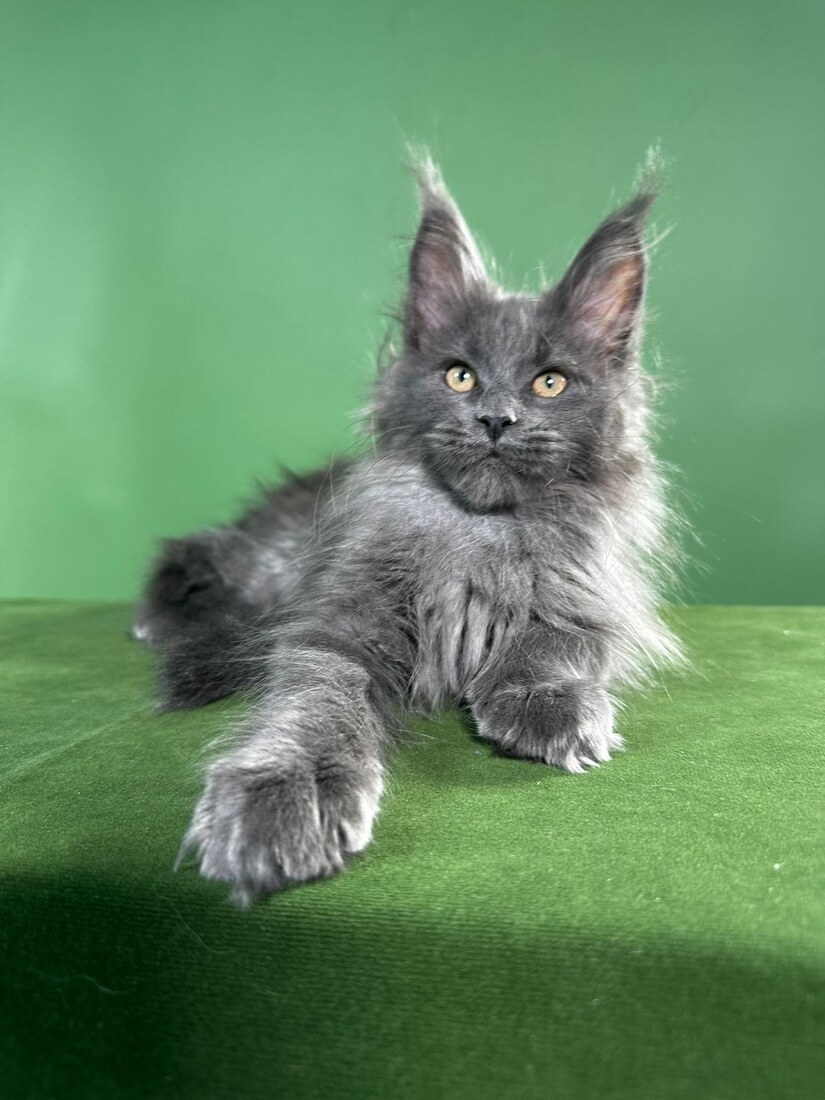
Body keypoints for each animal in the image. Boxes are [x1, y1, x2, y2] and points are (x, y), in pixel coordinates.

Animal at [135, 156, 682, 905]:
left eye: (548, 383)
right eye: (459, 376)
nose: (495, 418)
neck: (477, 535)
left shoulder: (594, 598)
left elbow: (553, 643)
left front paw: (546, 703)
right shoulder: (341, 619)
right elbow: (316, 700)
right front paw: (286, 789)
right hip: (271, 557)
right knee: (198, 551)